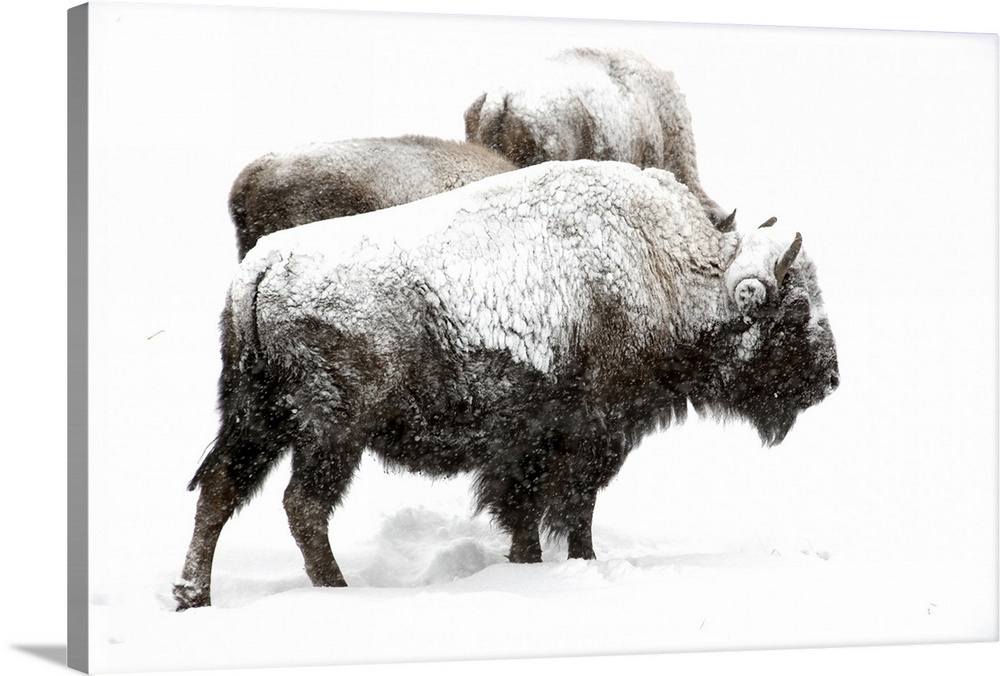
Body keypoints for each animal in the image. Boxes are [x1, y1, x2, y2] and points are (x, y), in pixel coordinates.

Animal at [176, 161, 840, 608]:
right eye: (797, 309)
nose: (831, 378)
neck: (666, 272)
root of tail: (262, 265)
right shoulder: (587, 437)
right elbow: (572, 510)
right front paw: (578, 564)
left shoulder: (526, 448)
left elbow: (527, 513)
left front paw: (526, 565)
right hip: (331, 433)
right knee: (303, 505)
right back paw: (337, 591)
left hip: (260, 420)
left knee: (220, 492)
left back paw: (193, 596)